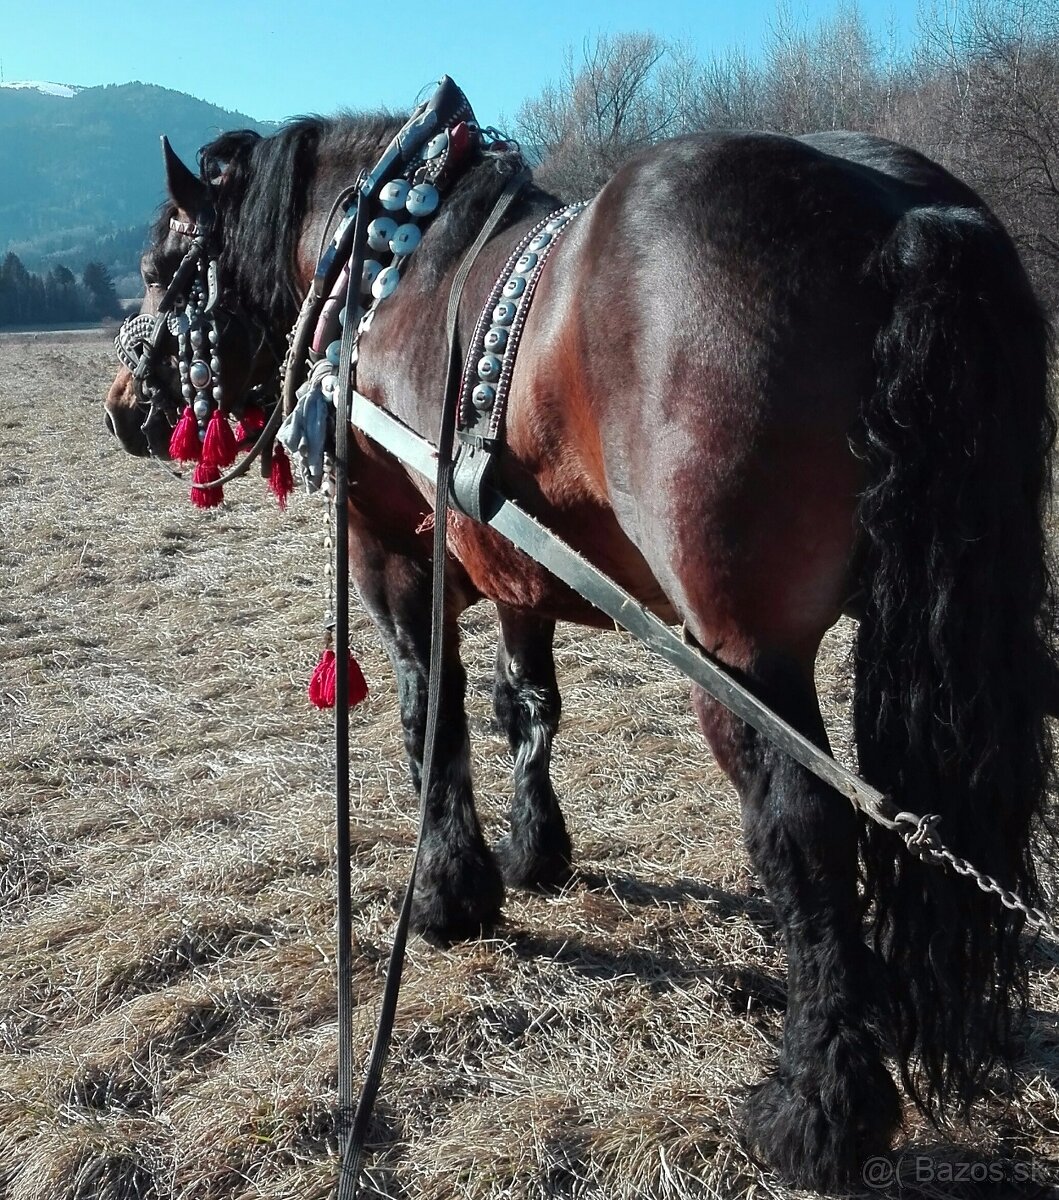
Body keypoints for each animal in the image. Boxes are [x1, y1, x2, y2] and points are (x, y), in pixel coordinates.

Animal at [103, 105, 1051, 1190]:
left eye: (158, 266)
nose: (123, 407)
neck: (387, 270)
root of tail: (903, 215)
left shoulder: (393, 553)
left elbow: (432, 712)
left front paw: (450, 892)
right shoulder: (513, 559)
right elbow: (527, 706)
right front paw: (534, 851)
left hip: (740, 657)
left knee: (804, 827)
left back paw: (819, 1104)